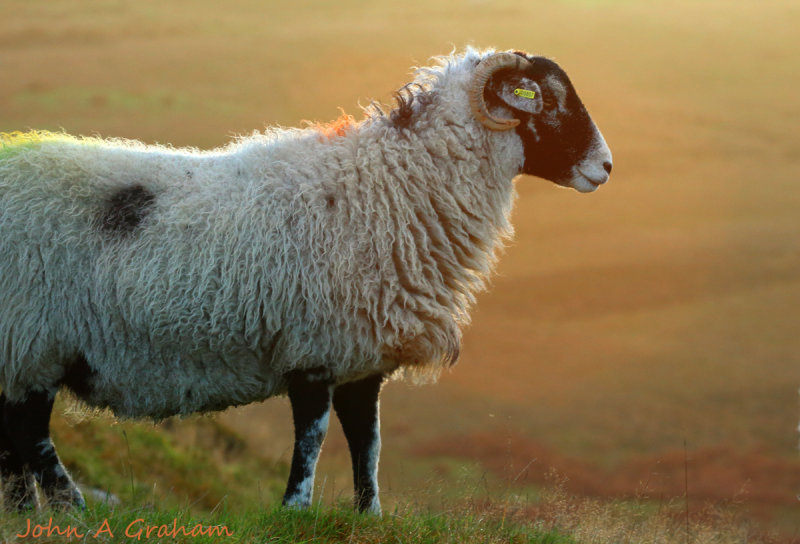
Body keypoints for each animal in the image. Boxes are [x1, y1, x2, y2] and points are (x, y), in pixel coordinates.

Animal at [1, 47, 612, 516]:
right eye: (547, 100)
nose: (605, 167)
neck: (395, 188)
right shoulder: (314, 346)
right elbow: (313, 438)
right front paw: (294, 509)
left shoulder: (363, 356)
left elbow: (369, 442)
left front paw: (369, 515)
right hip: (32, 337)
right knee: (30, 434)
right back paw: (70, 507)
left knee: (13, 440)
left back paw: (26, 511)